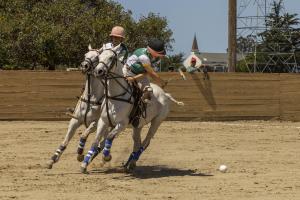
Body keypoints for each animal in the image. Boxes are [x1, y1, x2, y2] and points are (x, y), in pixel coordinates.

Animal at [81, 43, 183, 172]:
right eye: (99, 57)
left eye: (111, 58)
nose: (98, 71)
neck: (115, 95)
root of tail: (165, 94)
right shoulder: (103, 121)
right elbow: (95, 141)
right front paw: (84, 163)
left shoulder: (122, 123)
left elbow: (109, 137)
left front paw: (106, 157)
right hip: (138, 125)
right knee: (137, 142)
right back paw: (129, 163)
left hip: (157, 121)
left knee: (145, 142)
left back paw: (132, 161)